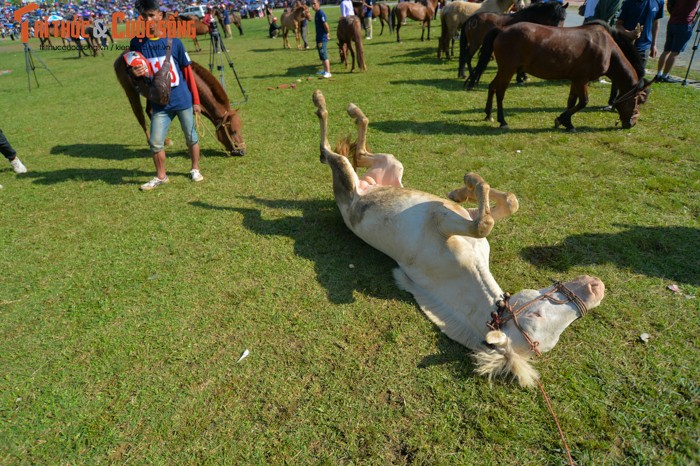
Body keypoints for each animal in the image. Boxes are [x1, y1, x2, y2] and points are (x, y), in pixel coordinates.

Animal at [114, 56, 246, 157]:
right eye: (233, 131)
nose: (242, 151)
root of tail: (119, 59)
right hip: (130, 91)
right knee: (140, 117)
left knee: (149, 112)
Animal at [314, 90, 608, 386]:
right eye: (536, 313)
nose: (595, 286)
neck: (468, 268)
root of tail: (358, 190)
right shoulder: (449, 219)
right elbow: (501, 207)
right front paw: (462, 189)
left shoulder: (447, 221)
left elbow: (487, 219)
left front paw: (467, 186)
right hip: (384, 168)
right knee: (343, 151)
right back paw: (333, 103)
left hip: (362, 173)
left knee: (340, 153)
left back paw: (329, 105)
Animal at [468, 21, 652, 131]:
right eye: (639, 99)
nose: (631, 123)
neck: (607, 47)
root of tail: (503, 29)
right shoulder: (582, 80)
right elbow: (583, 102)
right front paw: (561, 119)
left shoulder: (575, 80)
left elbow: (571, 101)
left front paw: (568, 123)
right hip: (508, 69)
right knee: (500, 92)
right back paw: (503, 121)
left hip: (504, 70)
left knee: (492, 87)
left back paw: (488, 114)